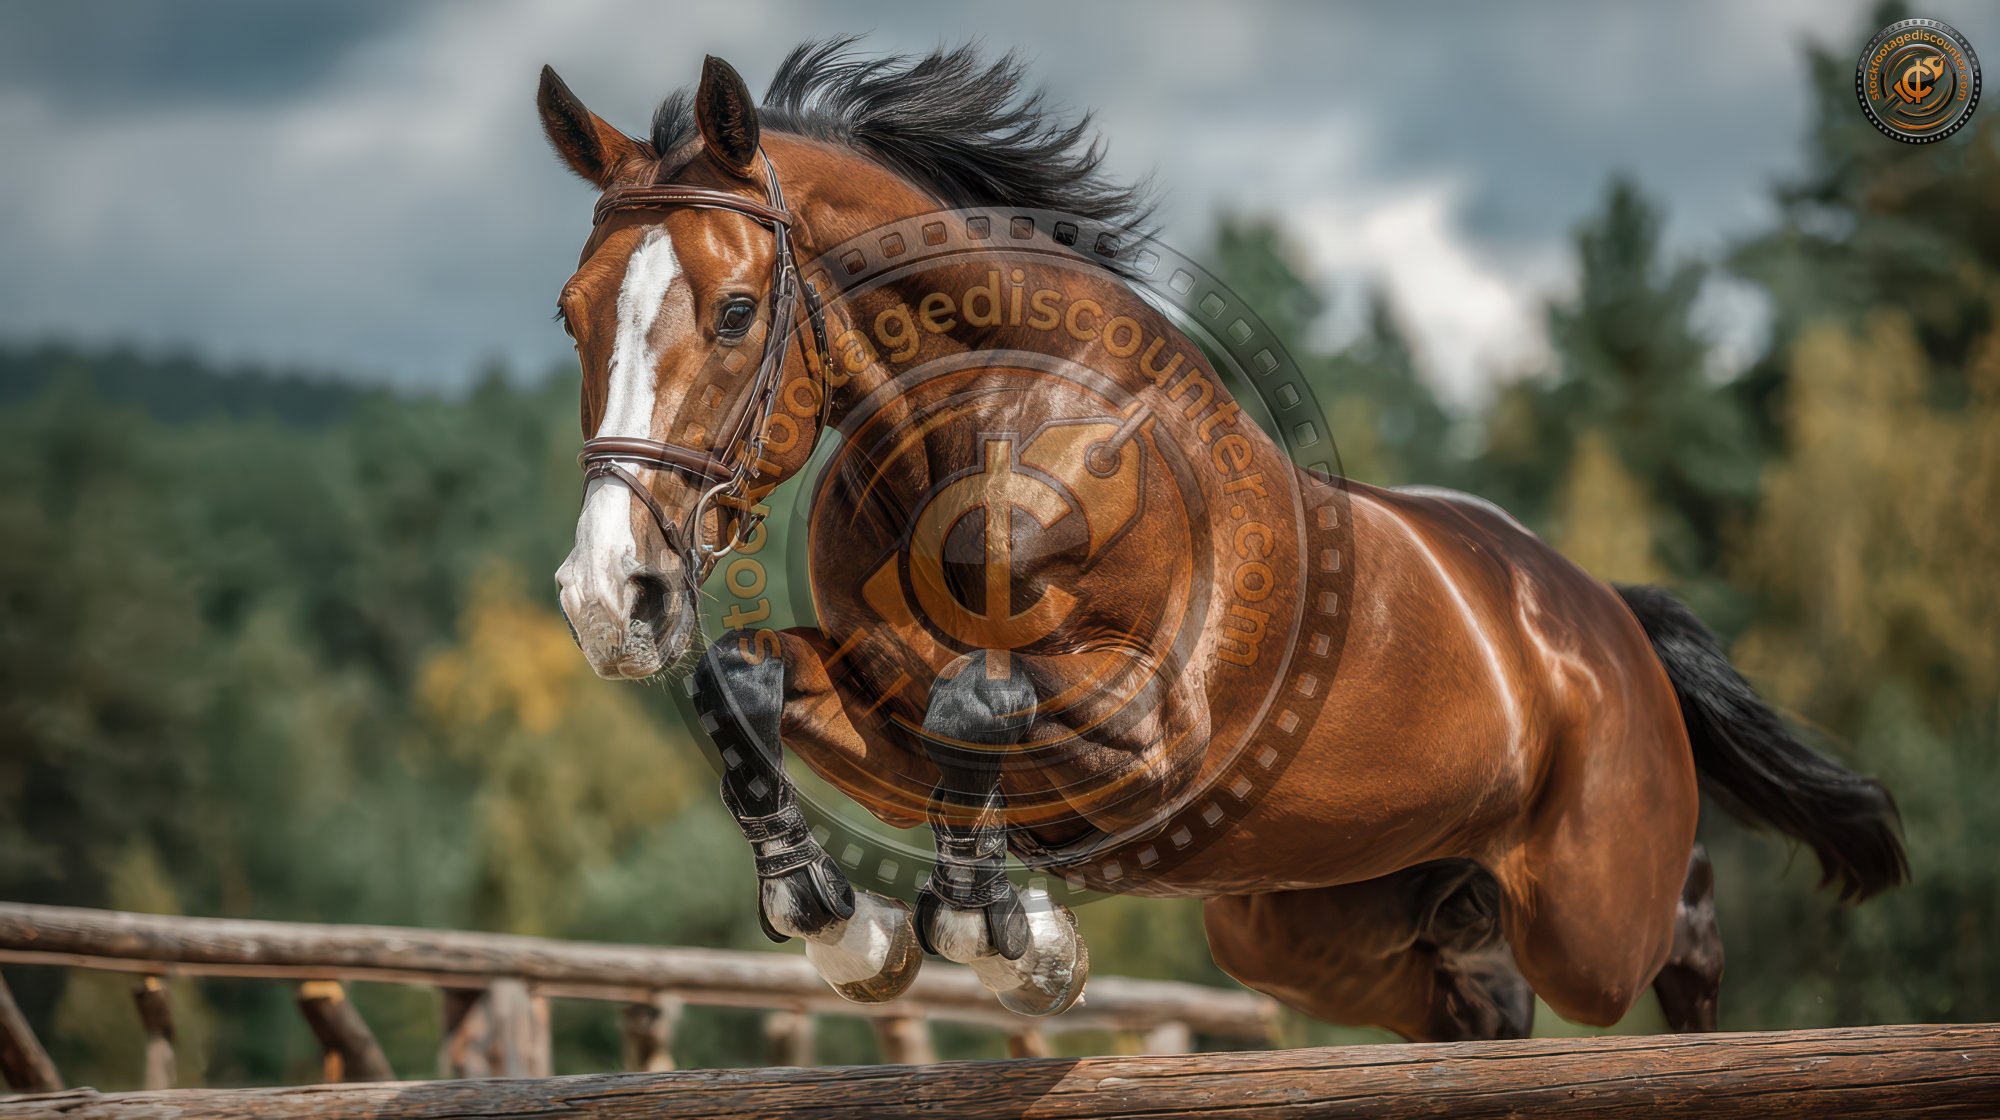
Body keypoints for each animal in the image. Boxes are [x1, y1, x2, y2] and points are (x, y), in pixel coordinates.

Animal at [541, 41, 1907, 1039]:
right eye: (570, 314)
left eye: (733, 311)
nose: (611, 598)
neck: (975, 430)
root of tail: (1604, 613)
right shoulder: (878, 688)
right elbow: (754, 680)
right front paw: (851, 926)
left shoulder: (1157, 730)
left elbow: (981, 695)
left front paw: (1012, 941)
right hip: (1300, 926)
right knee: (1473, 986)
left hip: (1587, 902)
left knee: (1662, 930)